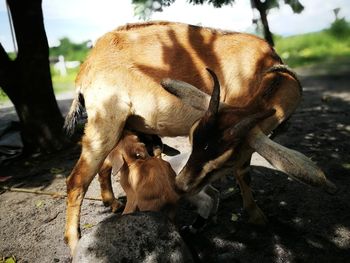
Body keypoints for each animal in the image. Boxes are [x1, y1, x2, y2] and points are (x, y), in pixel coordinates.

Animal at [64, 21, 334, 254]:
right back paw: (74, 240)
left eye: (226, 157)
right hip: (105, 120)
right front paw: (257, 217)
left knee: (105, 165)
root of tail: (88, 64)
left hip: (121, 126)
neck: (260, 67)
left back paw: (112, 203)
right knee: (77, 180)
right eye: (193, 139)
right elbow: (244, 174)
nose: (179, 186)